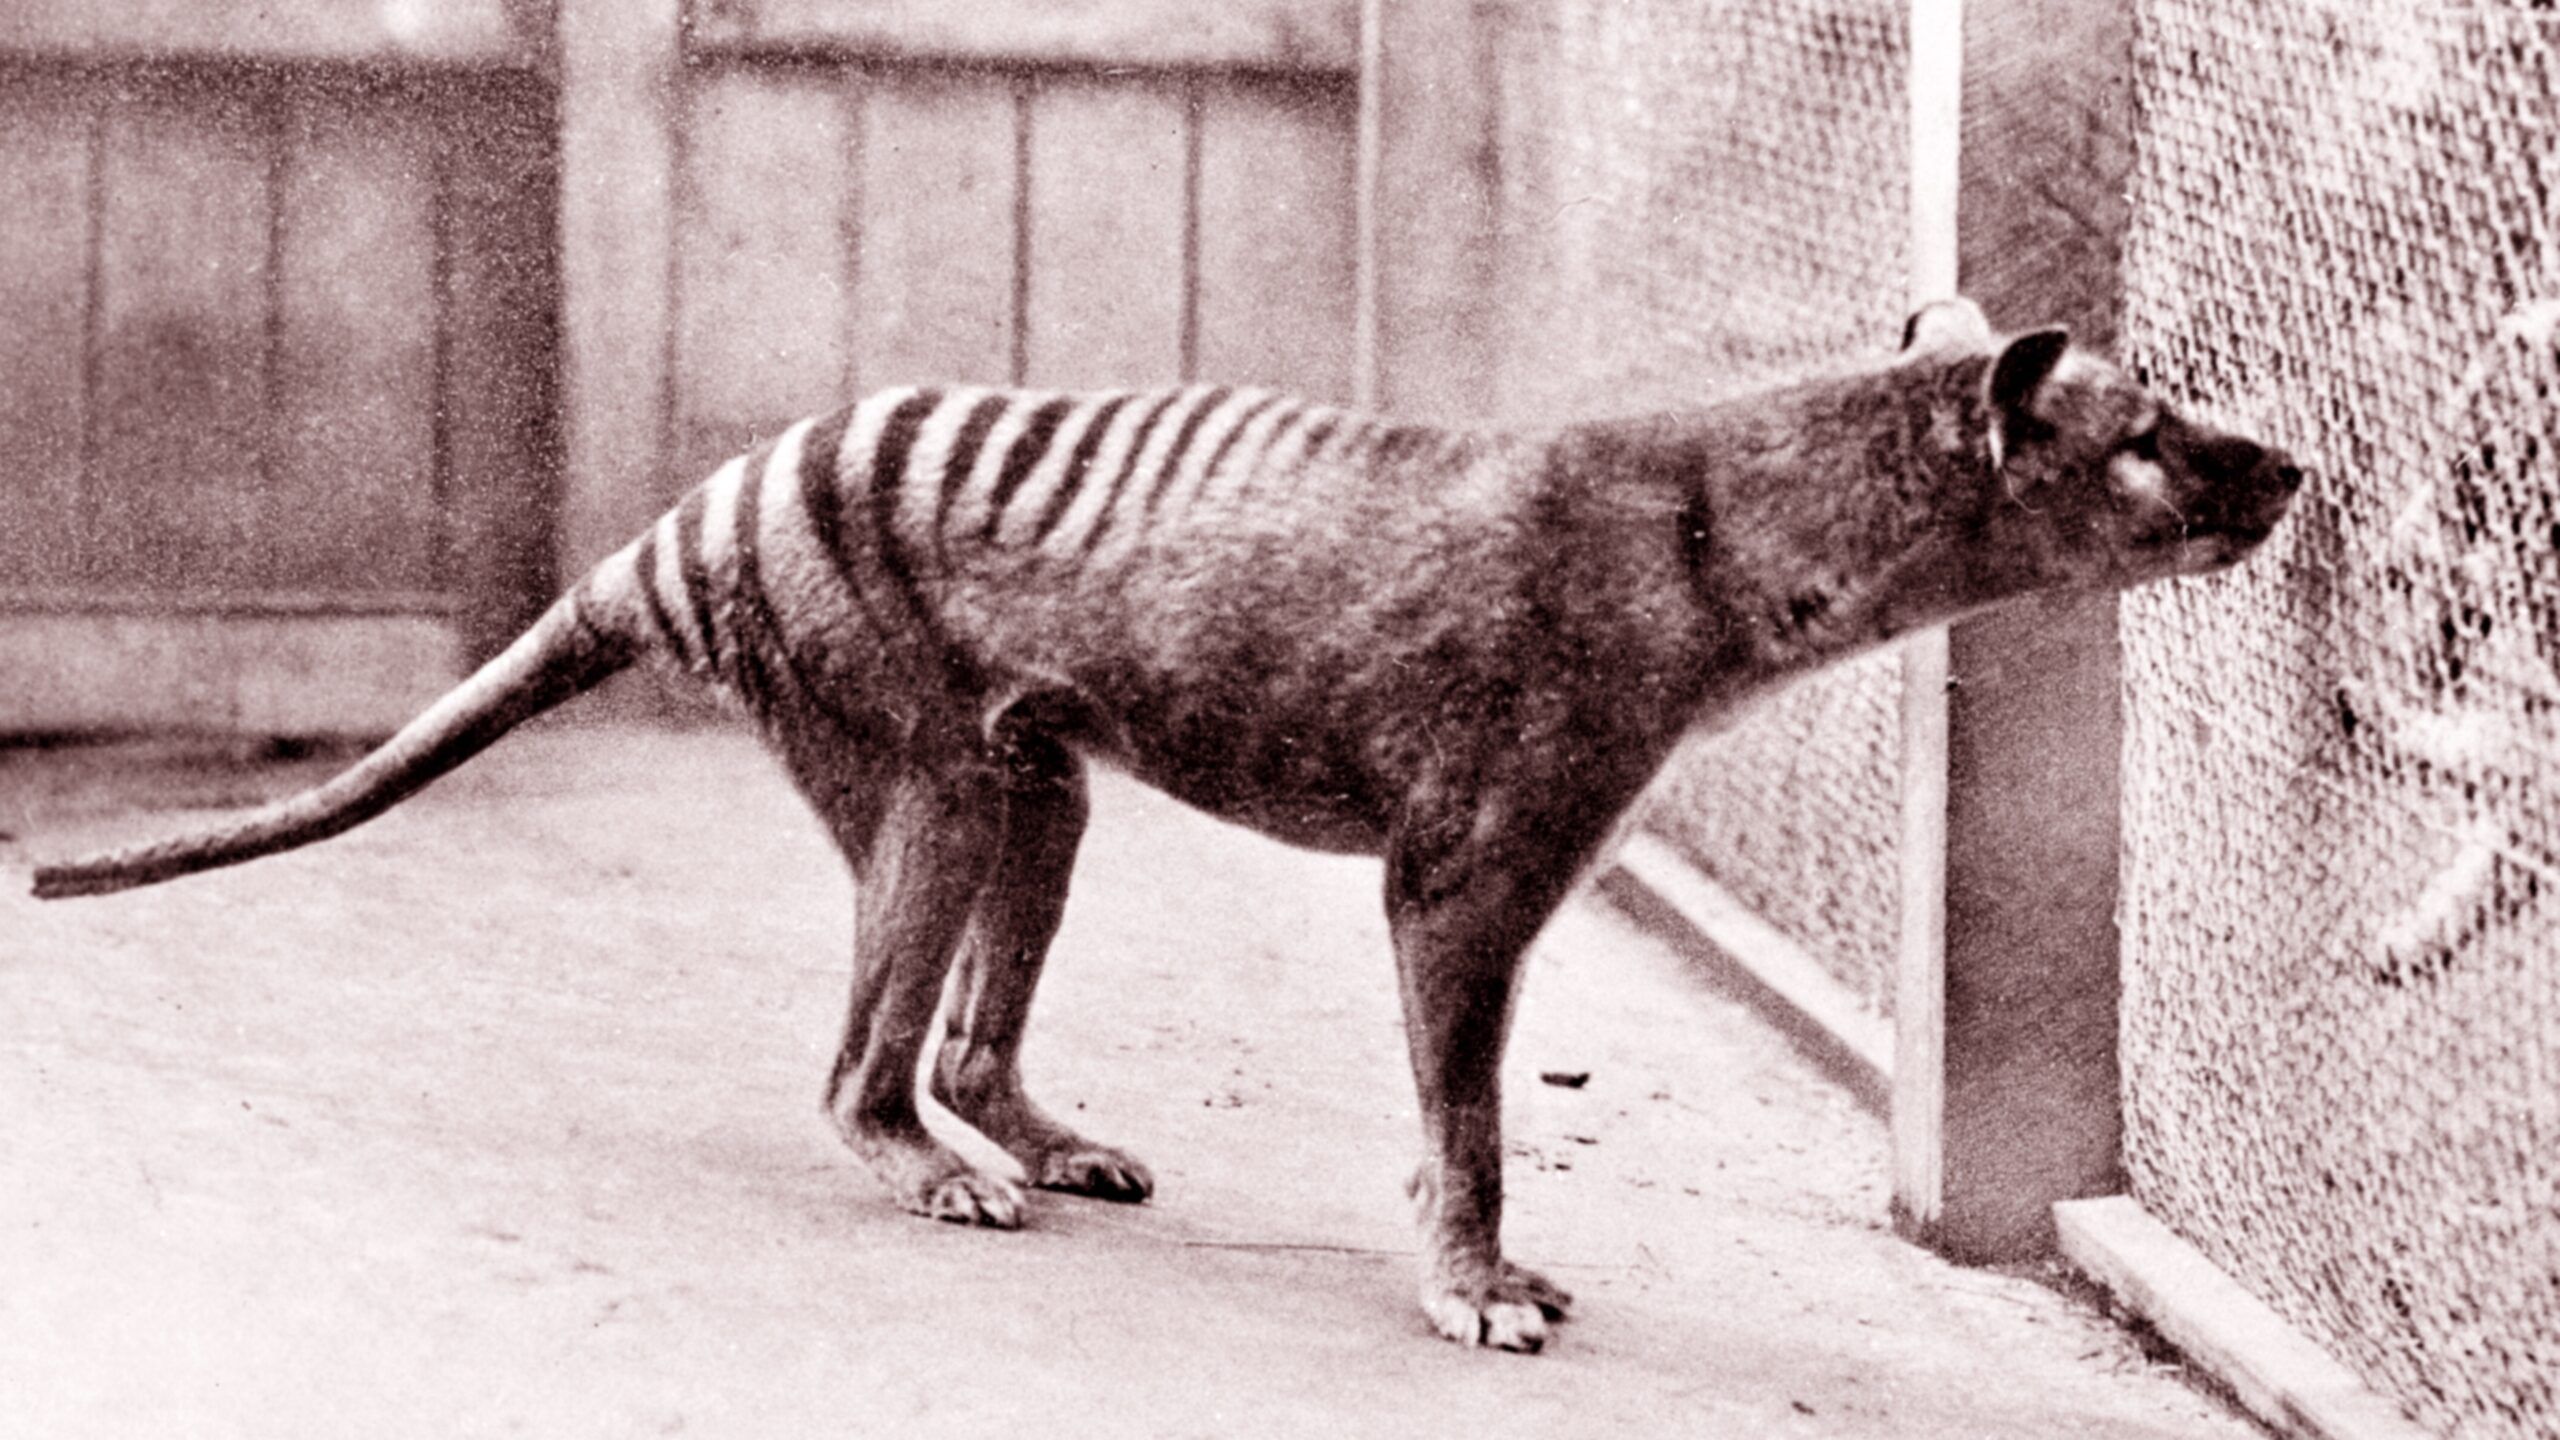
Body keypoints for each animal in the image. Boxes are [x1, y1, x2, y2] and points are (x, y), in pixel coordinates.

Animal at [30, 297, 2303, 1353]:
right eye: (2148, 434)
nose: (2285, 468)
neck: (1716, 528)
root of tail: (690, 518)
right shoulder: (1468, 868)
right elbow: (1470, 1109)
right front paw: (1474, 1283)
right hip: (931, 772)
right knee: (861, 1065)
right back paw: (932, 1174)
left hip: (1034, 778)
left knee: (963, 1034)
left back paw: (1033, 1137)